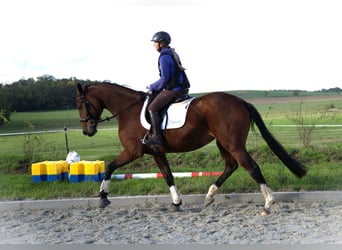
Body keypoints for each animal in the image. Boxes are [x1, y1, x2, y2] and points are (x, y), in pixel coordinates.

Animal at [76, 82, 306, 215]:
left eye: (81, 104)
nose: (87, 130)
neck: (128, 111)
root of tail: (240, 101)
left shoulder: (134, 151)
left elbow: (110, 167)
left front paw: (103, 197)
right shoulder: (157, 152)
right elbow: (168, 175)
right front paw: (176, 202)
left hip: (233, 144)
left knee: (251, 167)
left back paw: (268, 204)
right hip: (223, 143)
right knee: (230, 166)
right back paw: (209, 195)